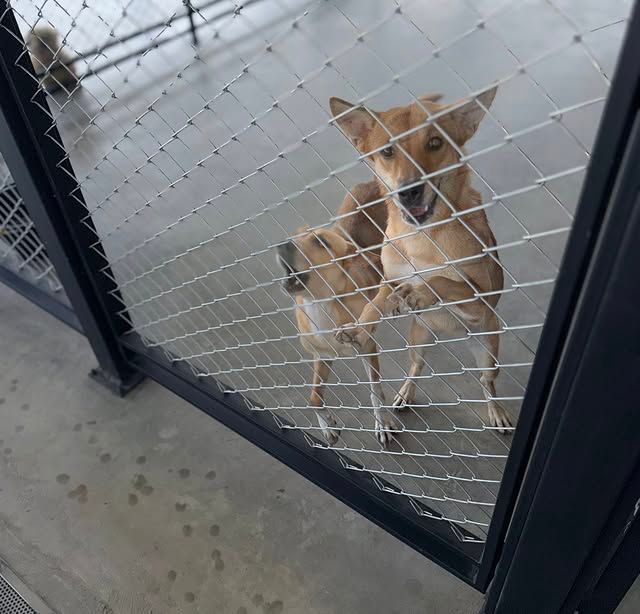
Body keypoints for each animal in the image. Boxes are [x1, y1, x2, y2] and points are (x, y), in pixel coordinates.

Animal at [276, 180, 400, 446]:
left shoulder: (368, 348)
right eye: (295, 236)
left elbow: (376, 391)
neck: (321, 305)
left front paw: (383, 424)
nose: (281, 245)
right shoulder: (322, 356)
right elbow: (314, 397)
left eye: (322, 242)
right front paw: (327, 425)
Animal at [330, 89, 513, 433]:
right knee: (417, 366)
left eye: (435, 143)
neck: (422, 237)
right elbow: (374, 304)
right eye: (387, 151)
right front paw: (360, 328)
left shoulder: (481, 297)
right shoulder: (389, 279)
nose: (409, 192)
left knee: (488, 382)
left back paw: (496, 411)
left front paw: (420, 291)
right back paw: (404, 393)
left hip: (487, 349)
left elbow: (444, 281)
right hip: (418, 339)